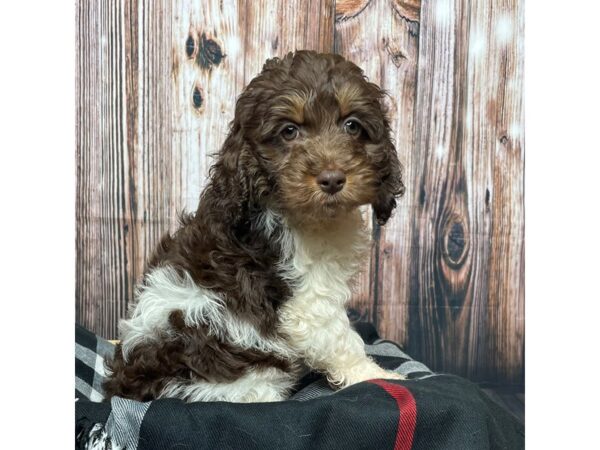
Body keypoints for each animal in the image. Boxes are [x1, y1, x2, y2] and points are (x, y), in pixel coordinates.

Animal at [103, 51, 406, 402]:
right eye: (289, 131)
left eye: (352, 125)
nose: (332, 180)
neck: (312, 216)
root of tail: (123, 385)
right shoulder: (307, 300)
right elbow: (340, 340)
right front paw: (376, 375)